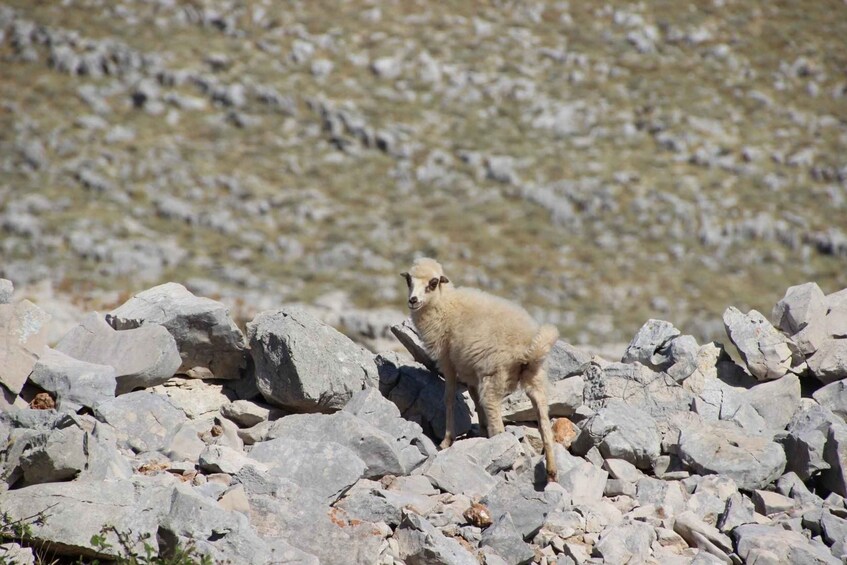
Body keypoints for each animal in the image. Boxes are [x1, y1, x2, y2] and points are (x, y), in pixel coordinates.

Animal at [400, 256, 560, 480]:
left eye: (433, 283)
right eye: (409, 281)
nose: (413, 300)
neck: (444, 305)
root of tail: (527, 349)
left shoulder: (448, 362)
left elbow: (449, 398)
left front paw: (447, 441)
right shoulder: (471, 372)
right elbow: (475, 401)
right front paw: (482, 431)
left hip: (494, 379)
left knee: (499, 426)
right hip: (535, 380)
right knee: (544, 423)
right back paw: (552, 472)